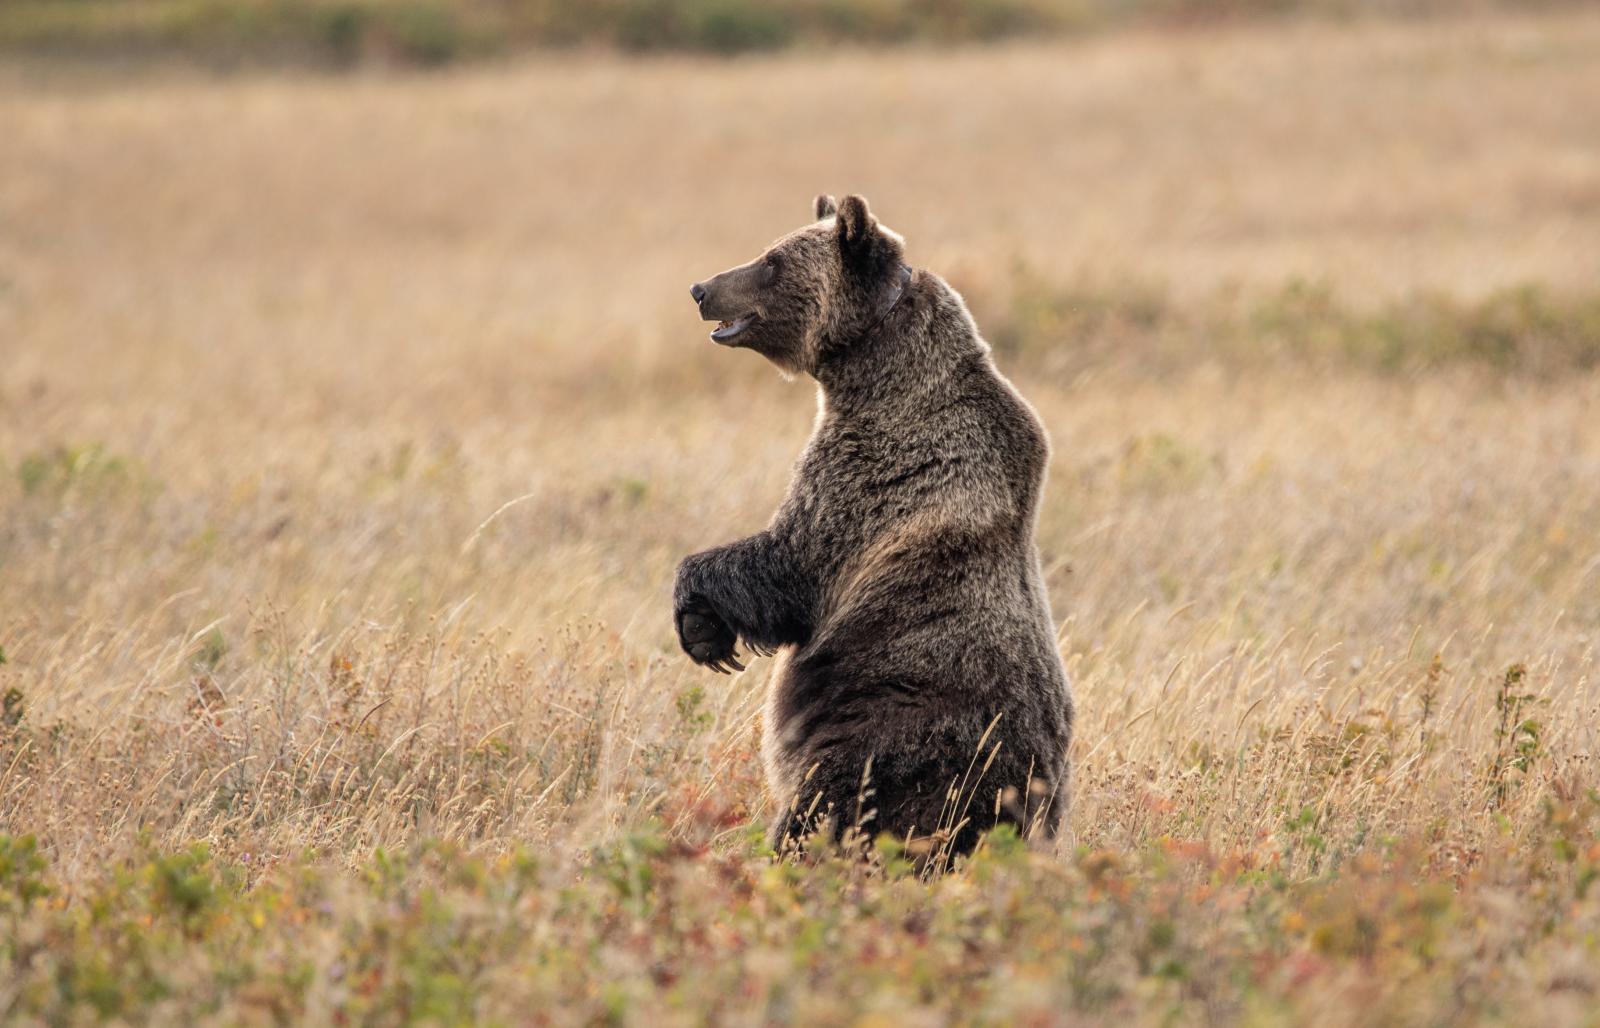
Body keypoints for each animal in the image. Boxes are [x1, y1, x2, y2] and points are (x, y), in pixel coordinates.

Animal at [675, 193, 1075, 864]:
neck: (876, 369)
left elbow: (791, 563)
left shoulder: (869, 471)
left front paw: (700, 623)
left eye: (772, 261)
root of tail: (1015, 802)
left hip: (890, 737)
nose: (701, 288)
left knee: (826, 807)